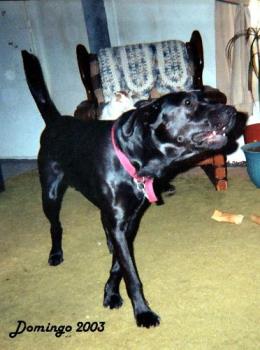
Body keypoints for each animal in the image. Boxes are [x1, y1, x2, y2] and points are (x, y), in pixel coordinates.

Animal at [21, 50, 237, 328]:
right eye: (188, 103)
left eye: (206, 98)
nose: (232, 110)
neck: (133, 156)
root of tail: (57, 121)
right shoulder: (119, 223)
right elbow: (131, 274)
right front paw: (143, 312)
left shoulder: (128, 222)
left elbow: (118, 265)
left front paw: (111, 293)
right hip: (50, 193)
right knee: (55, 225)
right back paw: (56, 253)